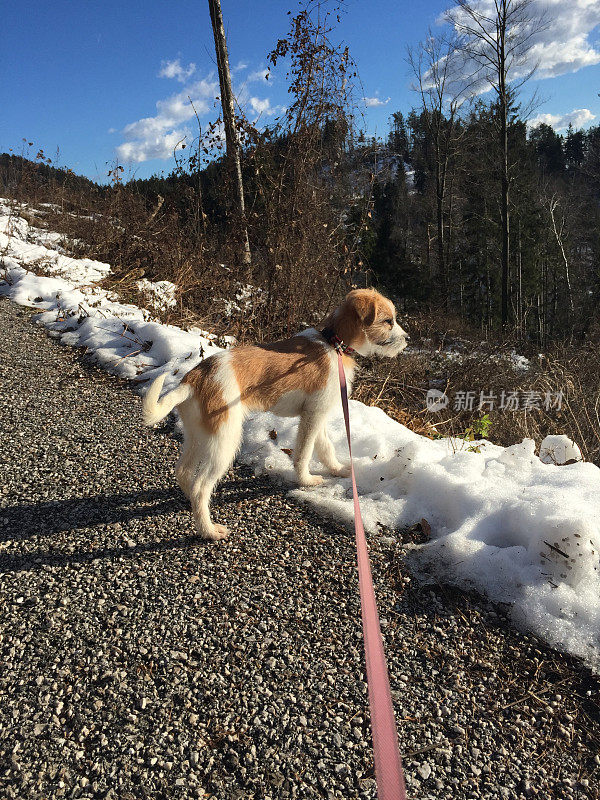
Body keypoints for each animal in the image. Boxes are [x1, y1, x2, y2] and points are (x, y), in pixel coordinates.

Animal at [143, 290, 410, 544]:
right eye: (388, 321)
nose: (407, 339)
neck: (333, 342)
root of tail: (195, 378)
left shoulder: (318, 414)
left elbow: (325, 446)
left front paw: (336, 470)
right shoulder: (312, 416)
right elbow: (304, 453)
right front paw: (305, 481)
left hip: (199, 436)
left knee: (183, 471)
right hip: (224, 441)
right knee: (200, 487)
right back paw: (208, 530)